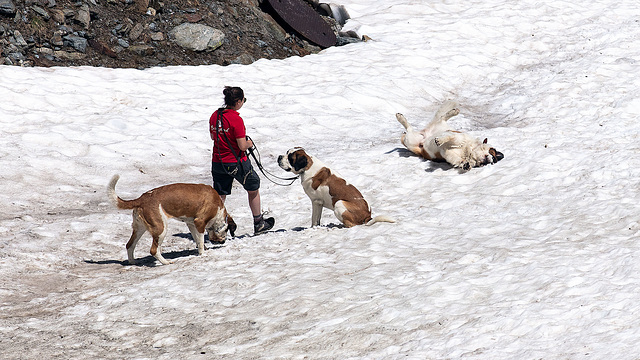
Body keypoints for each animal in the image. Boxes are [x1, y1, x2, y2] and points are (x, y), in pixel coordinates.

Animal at [107, 174, 238, 264]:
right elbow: (200, 241)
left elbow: (197, 239)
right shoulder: (199, 222)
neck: (219, 208)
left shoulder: (191, 224)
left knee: (129, 245)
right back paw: (165, 262)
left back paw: (133, 262)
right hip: (161, 228)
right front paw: (203, 254)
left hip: (140, 228)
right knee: (153, 250)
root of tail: (141, 199)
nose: (223, 241)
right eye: (227, 230)